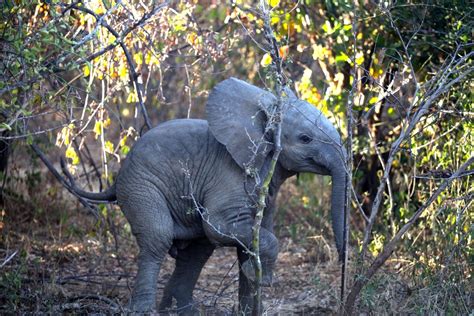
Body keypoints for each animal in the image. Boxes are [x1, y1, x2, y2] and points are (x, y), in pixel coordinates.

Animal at [70, 78, 346, 314]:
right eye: (305, 138)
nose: (343, 263)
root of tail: (117, 177)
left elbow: (254, 238)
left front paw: (251, 288)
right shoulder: (232, 176)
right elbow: (221, 228)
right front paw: (259, 276)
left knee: (196, 253)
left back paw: (181, 311)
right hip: (140, 186)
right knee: (158, 237)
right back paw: (145, 311)